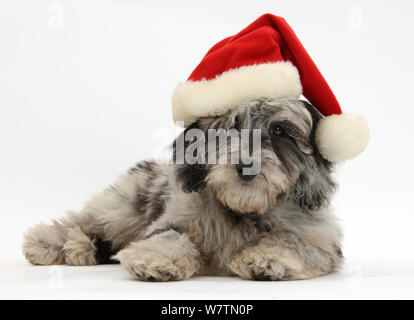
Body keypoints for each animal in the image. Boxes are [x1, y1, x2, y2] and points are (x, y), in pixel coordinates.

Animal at [21, 99, 342, 282]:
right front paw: (157, 258)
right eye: (230, 127)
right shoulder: (174, 218)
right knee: (83, 220)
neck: (240, 209)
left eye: (279, 131)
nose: (246, 167)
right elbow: (169, 235)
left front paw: (268, 258)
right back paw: (50, 242)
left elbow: (291, 241)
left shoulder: (320, 238)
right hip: (123, 207)